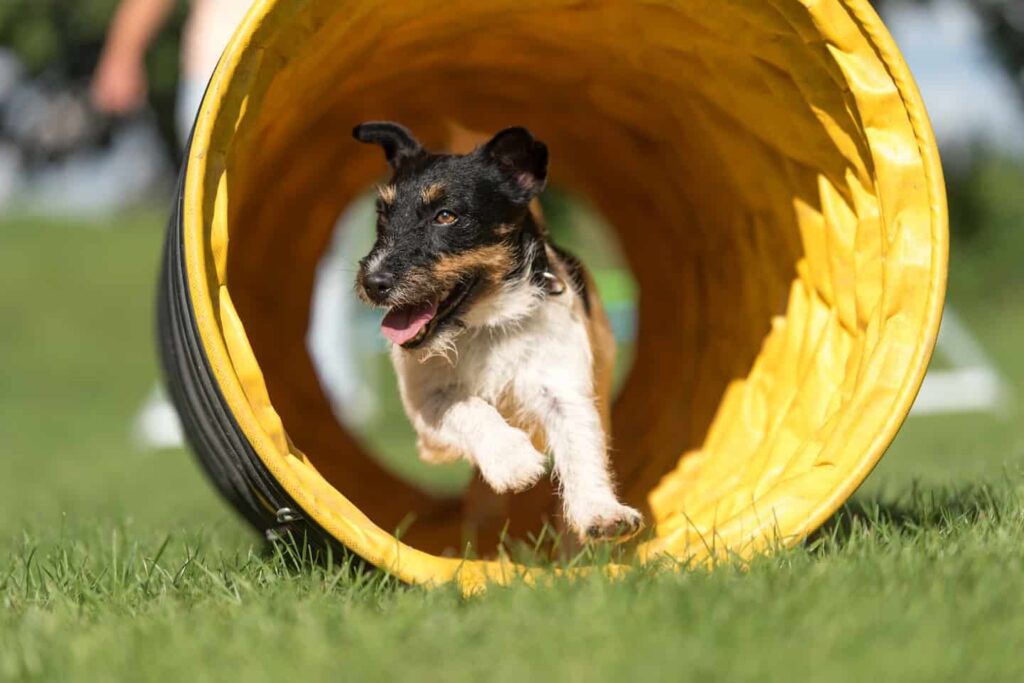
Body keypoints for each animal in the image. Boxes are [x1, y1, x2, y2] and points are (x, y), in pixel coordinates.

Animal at [352, 121, 638, 540]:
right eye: (383, 215)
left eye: (446, 216)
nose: (373, 283)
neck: (485, 324)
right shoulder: (427, 405)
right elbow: (467, 406)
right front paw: (514, 461)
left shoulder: (562, 386)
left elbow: (579, 444)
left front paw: (600, 511)